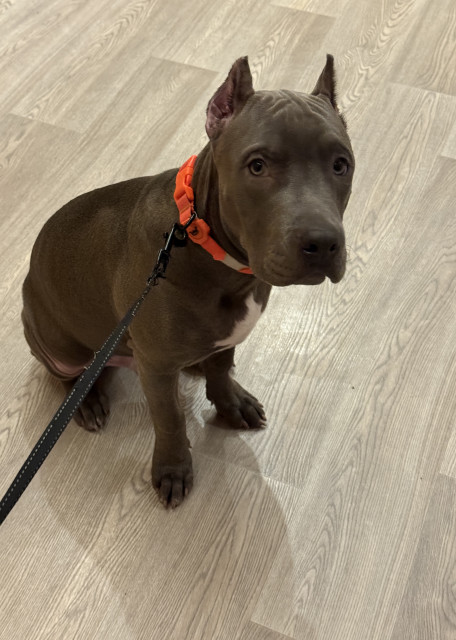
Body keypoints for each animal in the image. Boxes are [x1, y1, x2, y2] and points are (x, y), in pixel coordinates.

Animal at [22, 55, 354, 507]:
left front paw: (231, 402)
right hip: (60, 350)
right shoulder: (158, 368)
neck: (205, 244)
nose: (322, 243)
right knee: (66, 376)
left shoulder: (227, 337)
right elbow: (170, 418)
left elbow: (221, 368)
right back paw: (86, 399)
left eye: (341, 164)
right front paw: (173, 467)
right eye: (257, 166)